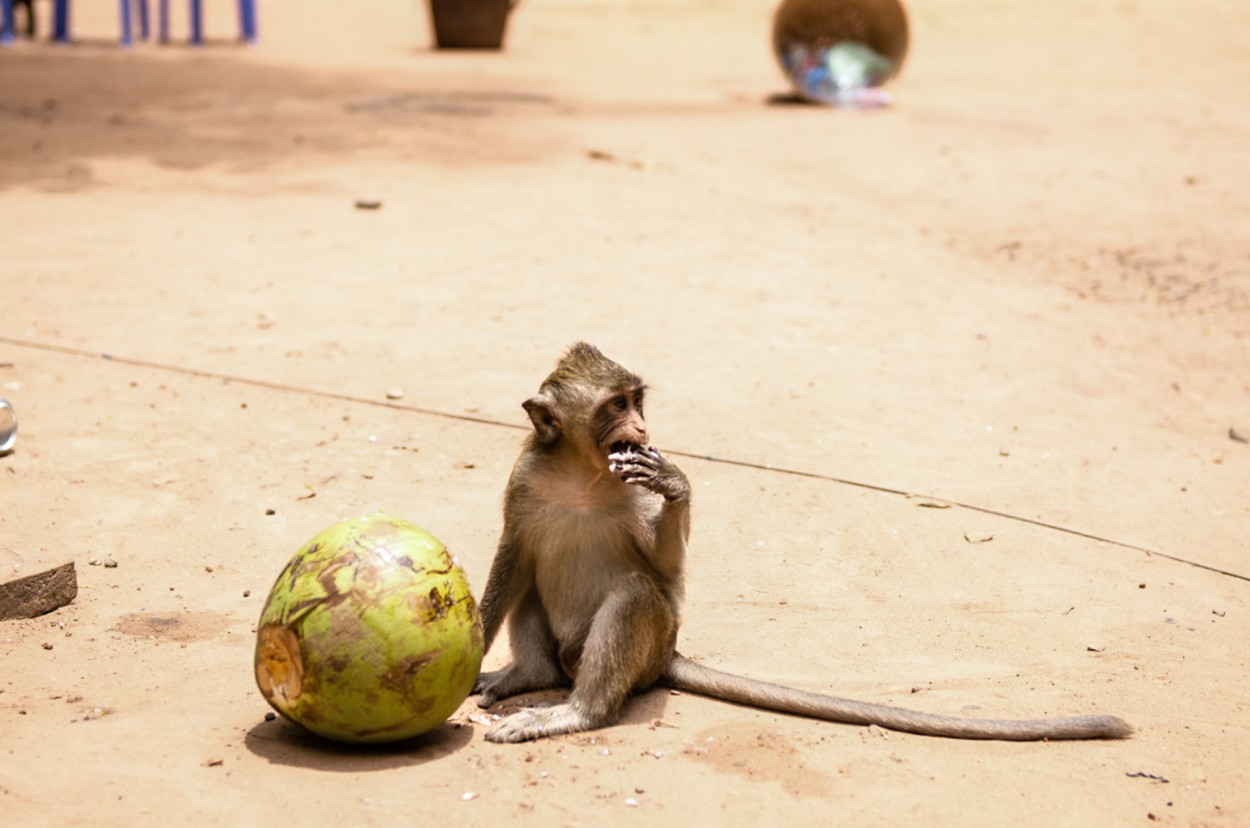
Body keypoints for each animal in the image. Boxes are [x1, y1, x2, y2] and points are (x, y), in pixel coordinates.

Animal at [470, 342, 1135, 745]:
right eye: (615, 405)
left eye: (635, 402)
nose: (640, 427)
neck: (583, 475)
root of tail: (666, 658)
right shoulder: (525, 480)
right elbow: (511, 557)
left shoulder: (631, 484)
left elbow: (663, 576)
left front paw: (677, 484)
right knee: (529, 582)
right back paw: (528, 675)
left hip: (644, 651)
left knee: (636, 597)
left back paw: (576, 711)